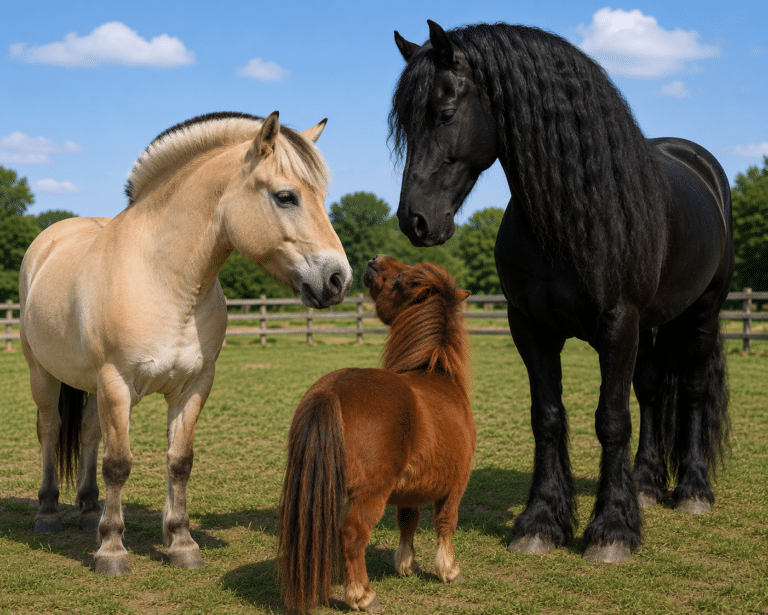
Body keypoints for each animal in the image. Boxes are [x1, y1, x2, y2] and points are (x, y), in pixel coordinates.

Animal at [19, 111, 352, 575]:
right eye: (286, 197)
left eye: (322, 197)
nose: (339, 279)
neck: (166, 281)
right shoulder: (116, 383)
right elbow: (118, 464)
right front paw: (112, 551)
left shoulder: (192, 386)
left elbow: (179, 461)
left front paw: (181, 543)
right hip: (44, 374)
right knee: (50, 430)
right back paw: (48, 514)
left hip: (91, 386)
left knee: (87, 434)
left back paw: (88, 511)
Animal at [278, 255, 475, 613]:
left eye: (400, 277)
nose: (373, 260)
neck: (435, 372)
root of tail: (334, 390)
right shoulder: (456, 483)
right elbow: (446, 522)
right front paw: (449, 571)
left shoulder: (411, 490)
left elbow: (408, 521)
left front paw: (407, 564)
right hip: (371, 493)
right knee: (353, 534)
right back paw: (363, 596)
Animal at [389, 21, 733, 563]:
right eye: (403, 125)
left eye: (444, 113)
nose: (414, 220)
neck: (571, 217)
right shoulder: (531, 328)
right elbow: (547, 417)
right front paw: (541, 523)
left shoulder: (618, 324)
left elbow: (611, 419)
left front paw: (612, 530)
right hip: (649, 327)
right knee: (653, 391)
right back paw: (646, 484)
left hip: (702, 315)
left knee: (693, 392)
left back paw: (693, 491)